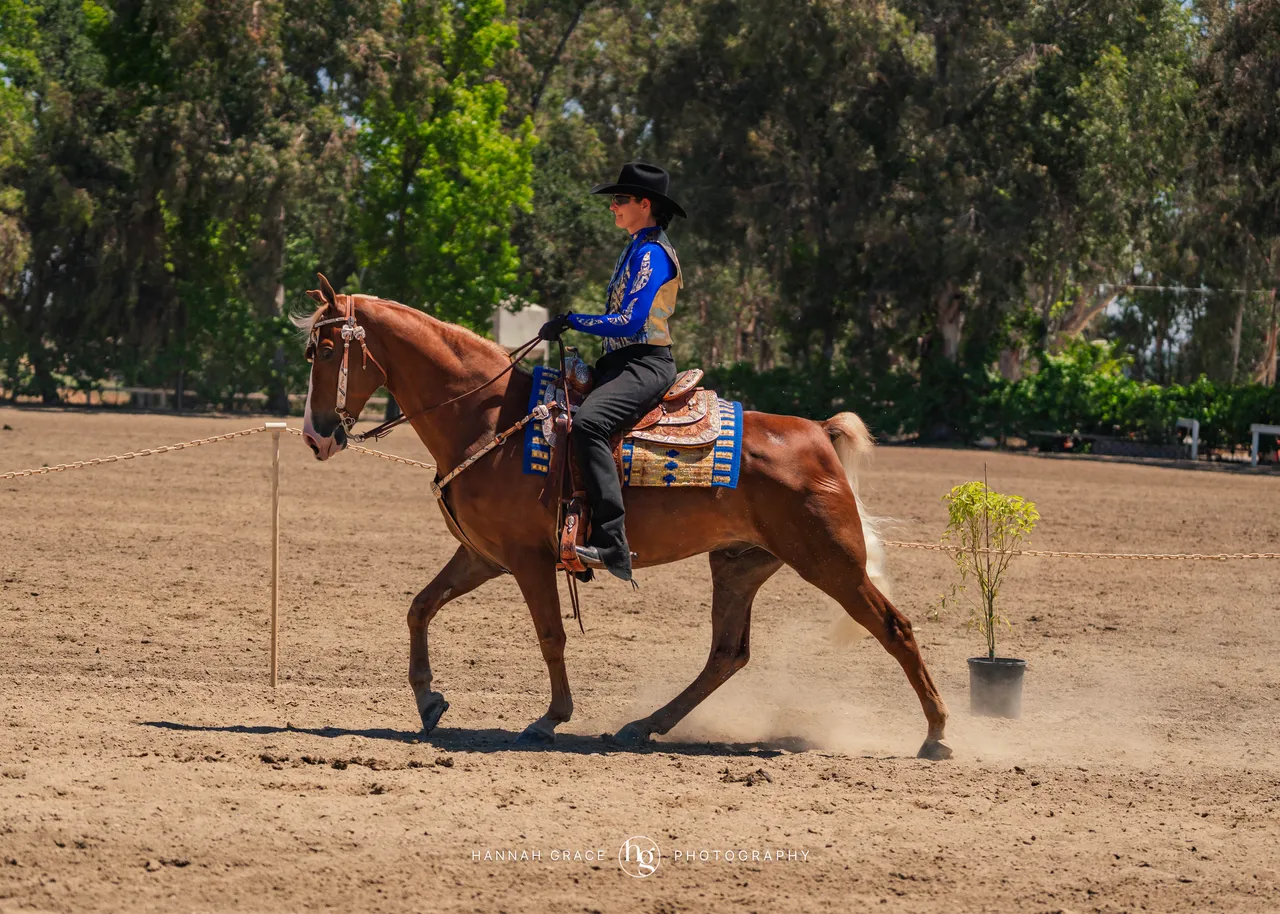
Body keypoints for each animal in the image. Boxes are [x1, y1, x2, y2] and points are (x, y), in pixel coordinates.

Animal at [295, 278, 952, 760]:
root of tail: (817, 431)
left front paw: (550, 718)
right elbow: (420, 606)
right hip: (740, 565)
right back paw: (644, 725)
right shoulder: (483, 555)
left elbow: (551, 635)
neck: (487, 416)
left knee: (894, 628)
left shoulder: (529, 560)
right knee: (727, 654)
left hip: (830, 562)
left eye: (326, 351)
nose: (316, 437)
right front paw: (429, 701)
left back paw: (937, 735)